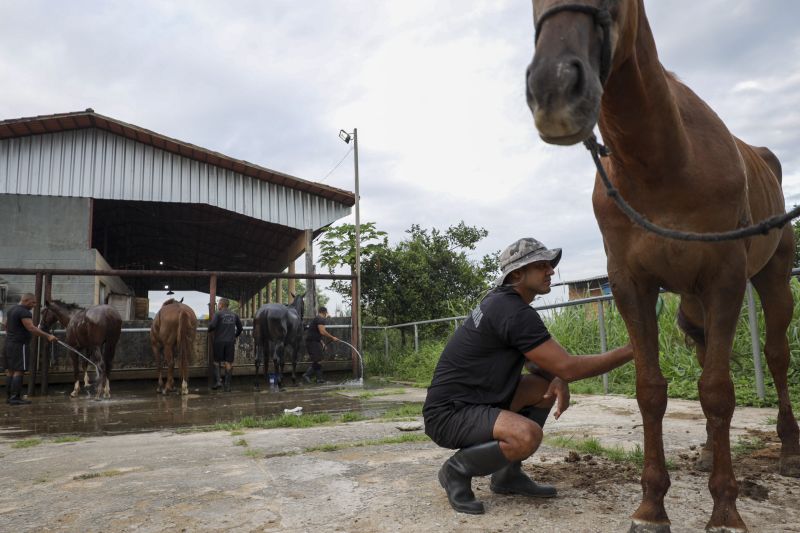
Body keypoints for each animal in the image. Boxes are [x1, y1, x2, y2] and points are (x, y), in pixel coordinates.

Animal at [524, 2, 800, 528]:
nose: (553, 89)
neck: (663, 163)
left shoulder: (726, 279)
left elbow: (718, 391)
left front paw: (726, 510)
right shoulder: (631, 284)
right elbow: (652, 391)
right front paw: (652, 506)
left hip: (771, 277)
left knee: (776, 355)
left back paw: (789, 450)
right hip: (691, 304)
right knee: (705, 352)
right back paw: (711, 453)